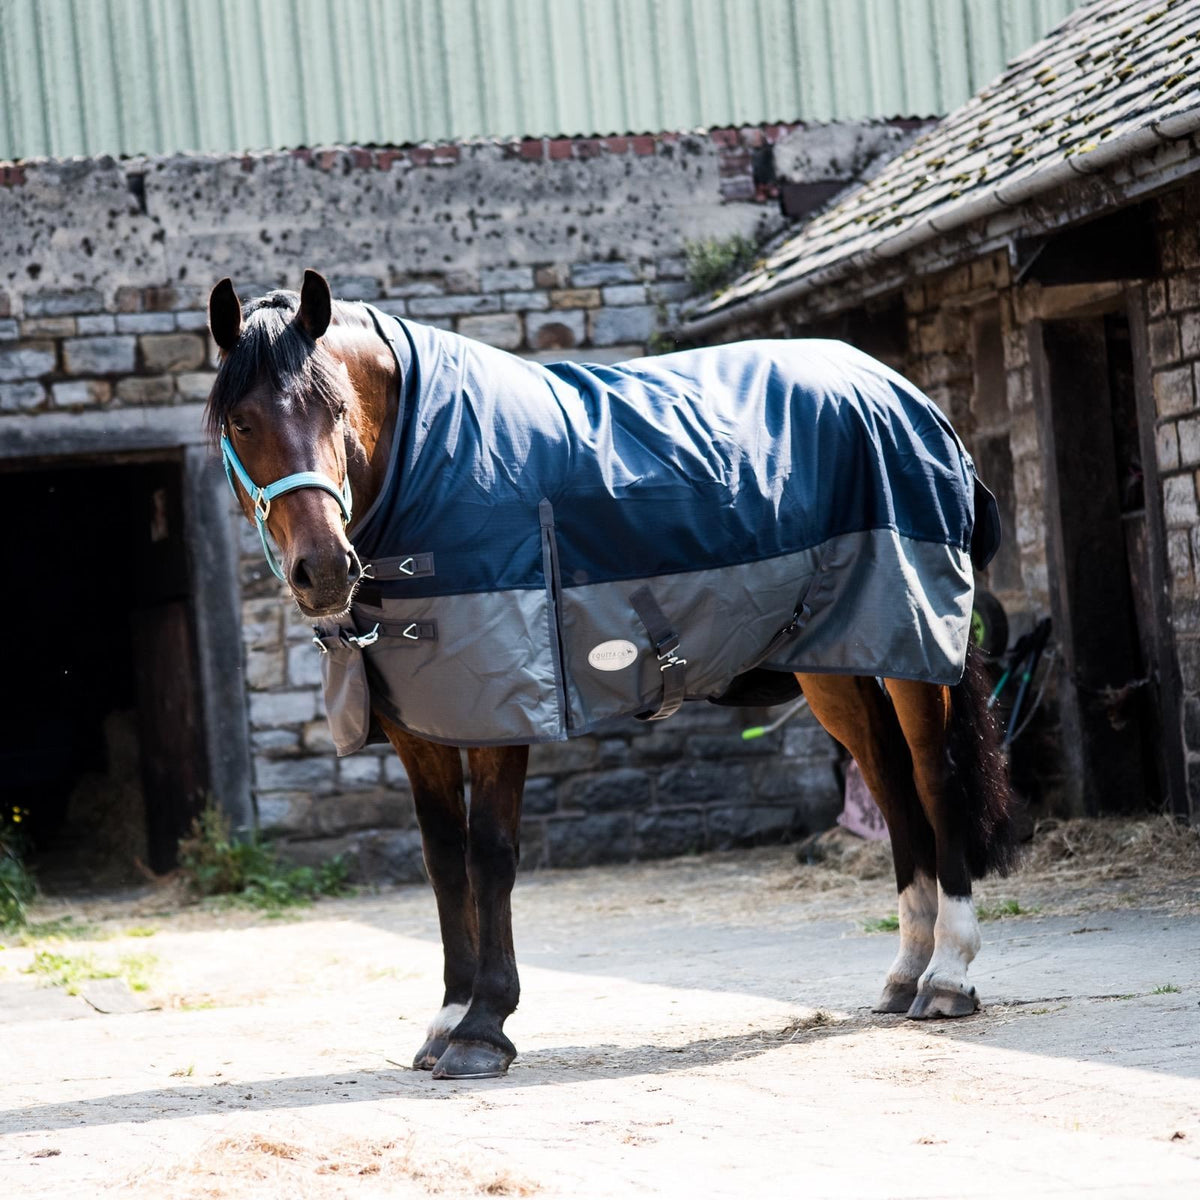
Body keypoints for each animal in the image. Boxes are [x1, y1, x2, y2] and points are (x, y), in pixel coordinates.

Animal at [205, 269, 1015, 1080]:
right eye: (240, 422)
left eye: (338, 408)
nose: (324, 570)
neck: (434, 464)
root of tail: (898, 390)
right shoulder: (420, 726)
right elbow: (443, 861)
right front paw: (445, 1020)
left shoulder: (508, 708)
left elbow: (490, 855)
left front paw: (483, 1027)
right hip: (840, 661)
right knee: (889, 783)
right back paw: (905, 971)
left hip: (914, 642)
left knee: (934, 779)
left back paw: (947, 974)